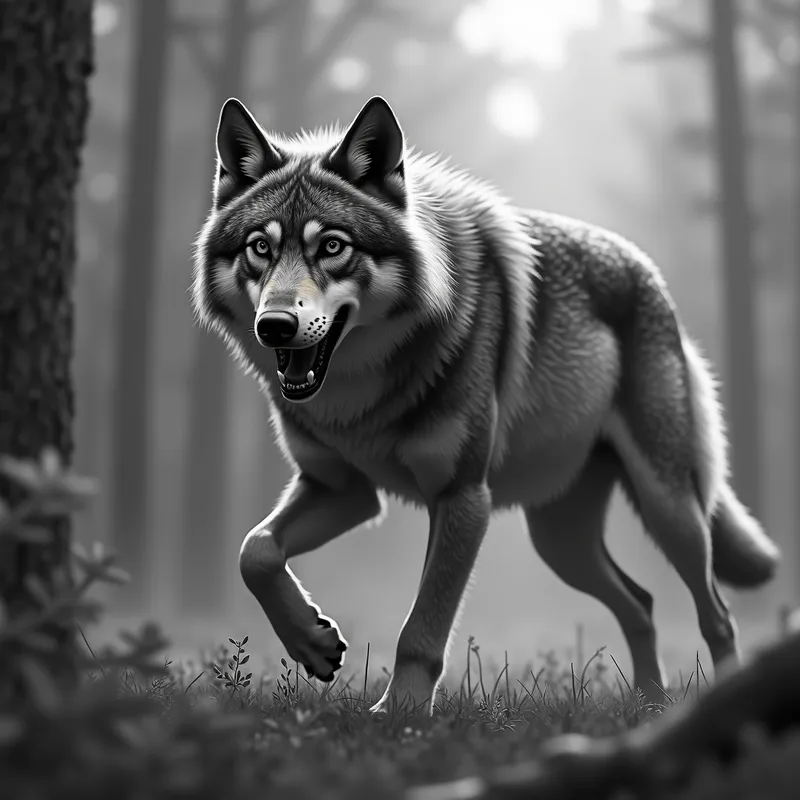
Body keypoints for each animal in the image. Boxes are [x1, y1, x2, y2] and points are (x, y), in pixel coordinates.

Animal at [191, 95, 780, 715]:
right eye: (260, 247)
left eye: (332, 246)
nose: (275, 326)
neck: (364, 397)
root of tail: (649, 273)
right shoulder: (343, 490)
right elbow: (254, 551)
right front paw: (312, 642)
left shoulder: (463, 498)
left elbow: (422, 627)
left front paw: (397, 716)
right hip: (562, 543)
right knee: (641, 603)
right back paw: (650, 705)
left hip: (669, 509)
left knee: (718, 614)